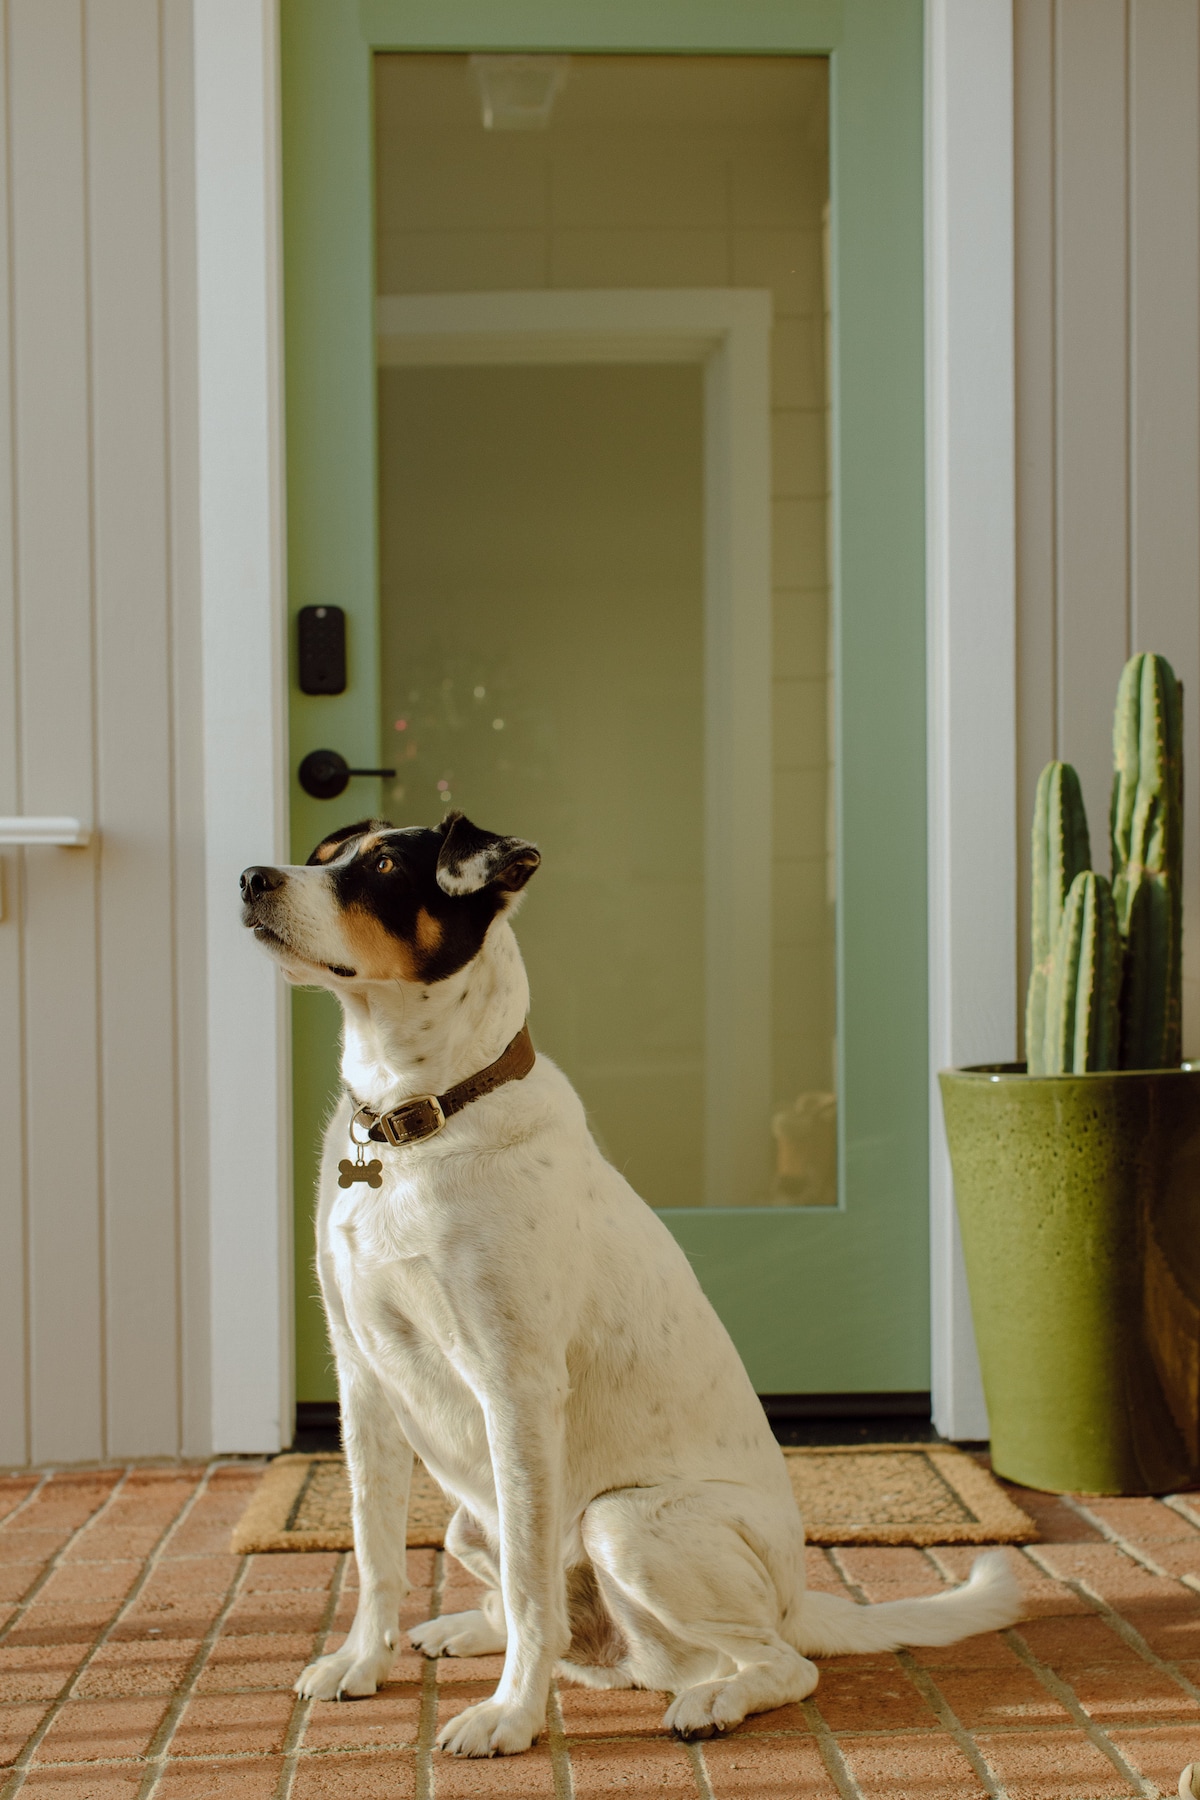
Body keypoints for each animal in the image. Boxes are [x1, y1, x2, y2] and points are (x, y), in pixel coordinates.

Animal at [241, 817, 1021, 1756]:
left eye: (386, 866)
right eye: (323, 857)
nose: (251, 878)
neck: (417, 1121)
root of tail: (799, 1599)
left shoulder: (516, 1390)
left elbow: (530, 1589)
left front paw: (511, 1716)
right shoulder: (362, 1380)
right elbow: (375, 1552)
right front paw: (363, 1665)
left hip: (620, 1523)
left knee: (777, 1663)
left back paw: (712, 1701)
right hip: (472, 1522)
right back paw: (470, 1630)